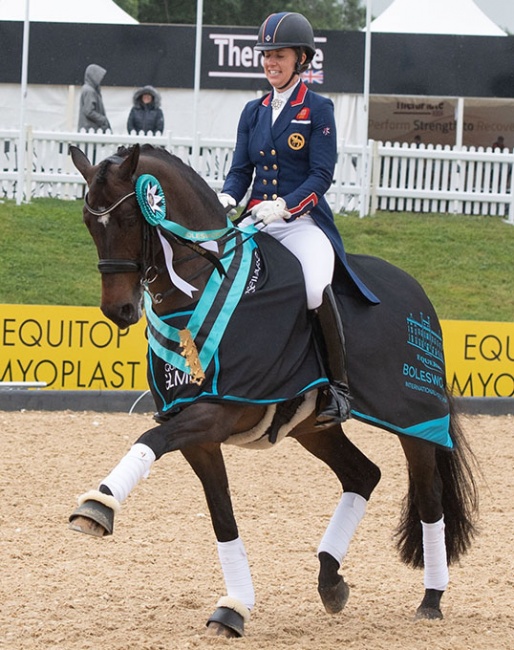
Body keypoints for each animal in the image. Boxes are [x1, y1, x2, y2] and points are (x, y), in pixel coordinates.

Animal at [68, 144, 476, 636]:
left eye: (130, 217)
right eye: (89, 222)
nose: (119, 310)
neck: (200, 287)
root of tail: (416, 292)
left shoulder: (216, 411)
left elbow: (150, 439)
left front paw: (99, 505)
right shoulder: (198, 431)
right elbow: (222, 515)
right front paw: (234, 608)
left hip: (416, 419)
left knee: (429, 497)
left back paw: (431, 598)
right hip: (314, 428)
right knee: (363, 475)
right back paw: (330, 580)